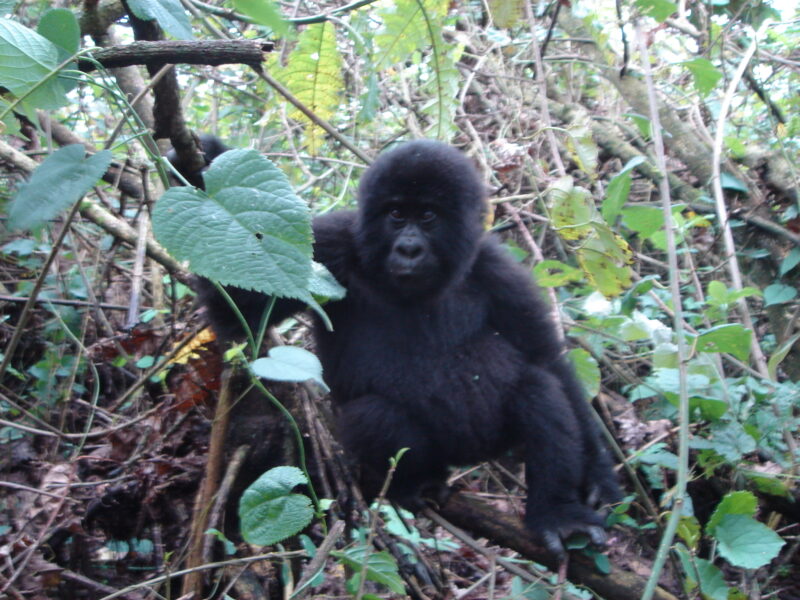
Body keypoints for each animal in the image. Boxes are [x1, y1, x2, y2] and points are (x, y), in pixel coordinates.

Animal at [178, 138, 620, 556]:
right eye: (395, 214)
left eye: (427, 216)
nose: (409, 249)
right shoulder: (333, 242)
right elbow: (242, 308)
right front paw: (202, 169)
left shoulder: (497, 267)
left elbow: (545, 357)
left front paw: (598, 474)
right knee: (377, 415)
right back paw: (416, 483)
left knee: (539, 389)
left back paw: (556, 512)